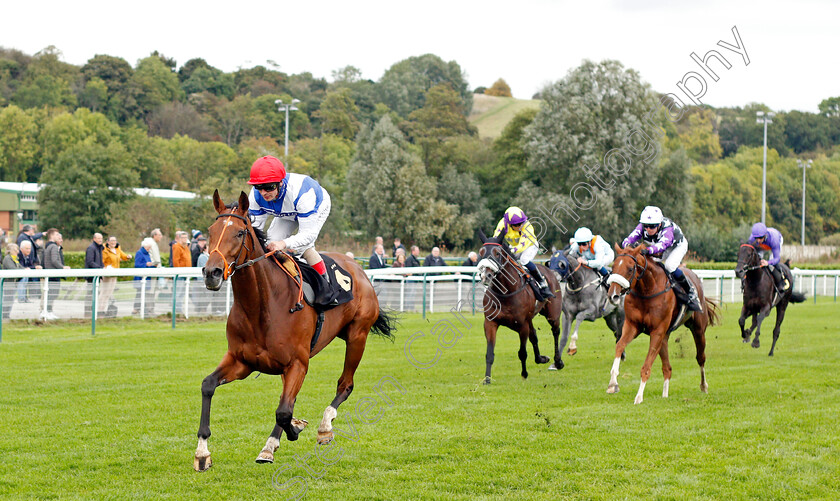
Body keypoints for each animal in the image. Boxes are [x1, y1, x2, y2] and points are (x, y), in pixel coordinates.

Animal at [195, 189, 396, 470]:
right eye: (210, 231)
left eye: (239, 232)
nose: (211, 272)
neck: (262, 306)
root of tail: (358, 267)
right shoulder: (241, 361)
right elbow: (208, 385)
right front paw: (202, 452)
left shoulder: (298, 363)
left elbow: (283, 411)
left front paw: (289, 433)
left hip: (358, 336)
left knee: (345, 385)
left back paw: (325, 427)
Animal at [476, 231, 560, 382]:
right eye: (481, 252)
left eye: (497, 253)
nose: (486, 275)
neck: (505, 293)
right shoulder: (490, 323)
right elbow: (489, 353)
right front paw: (487, 379)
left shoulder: (522, 325)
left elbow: (522, 352)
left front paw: (524, 374)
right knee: (534, 335)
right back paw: (541, 358)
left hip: (553, 314)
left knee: (556, 332)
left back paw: (558, 362)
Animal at [604, 244, 720, 404]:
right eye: (614, 266)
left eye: (630, 268)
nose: (613, 295)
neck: (647, 291)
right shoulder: (633, 326)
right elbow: (620, 345)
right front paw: (612, 384)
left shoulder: (657, 331)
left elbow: (647, 366)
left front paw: (639, 397)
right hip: (665, 337)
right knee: (667, 368)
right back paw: (665, 395)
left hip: (698, 329)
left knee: (700, 358)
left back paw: (703, 386)